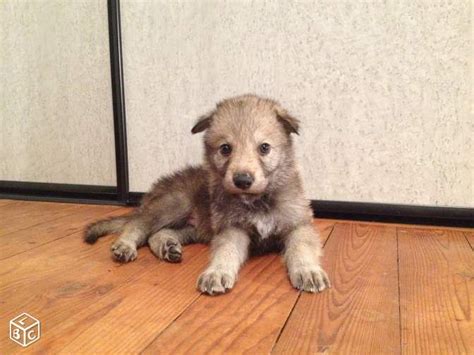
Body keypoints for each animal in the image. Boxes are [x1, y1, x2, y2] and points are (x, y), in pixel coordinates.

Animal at [84, 94, 330, 294]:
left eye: (264, 148)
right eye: (225, 149)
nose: (242, 180)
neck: (257, 201)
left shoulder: (298, 225)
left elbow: (301, 249)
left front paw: (308, 271)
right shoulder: (232, 229)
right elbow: (226, 252)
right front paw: (217, 272)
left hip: (193, 227)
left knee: (157, 233)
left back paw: (167, 246)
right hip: (175, 204)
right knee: (137, 225)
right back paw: (125, 246)